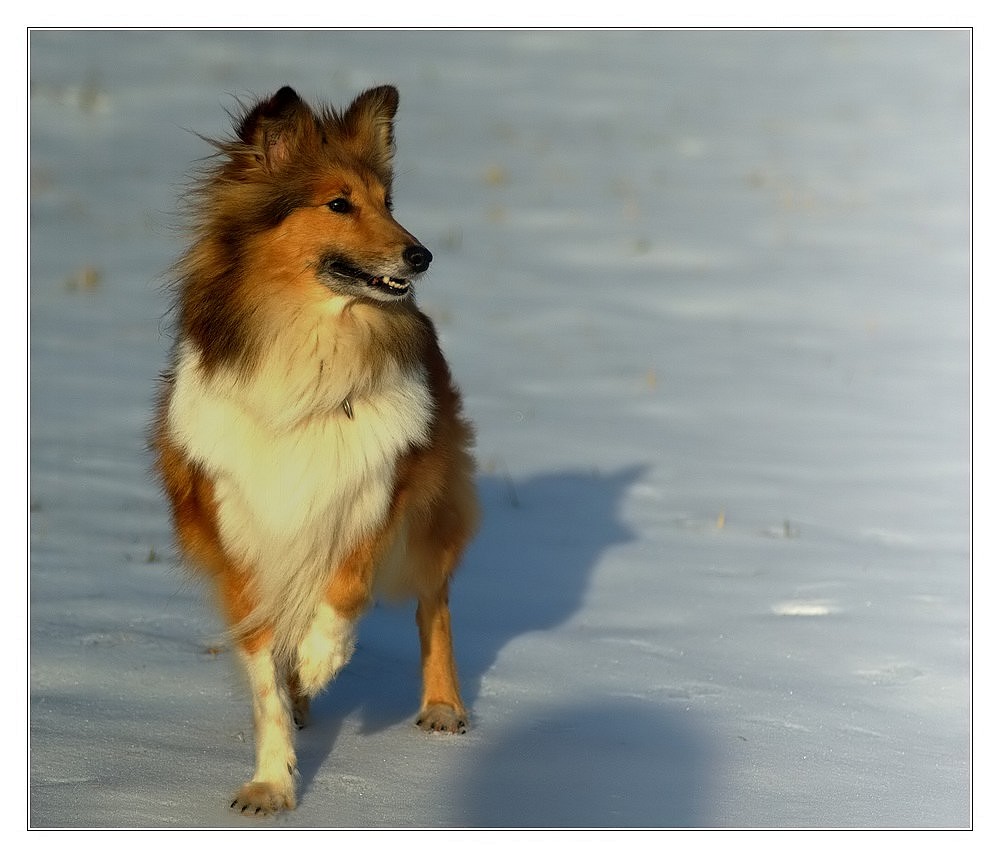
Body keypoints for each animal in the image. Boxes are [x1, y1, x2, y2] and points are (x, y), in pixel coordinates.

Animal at [151, 87, 480, 816]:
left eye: (387, 199)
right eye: (339, 204)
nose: (421, 256)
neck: (309, 348)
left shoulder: (377, 490)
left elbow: (346, 590)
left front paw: (319, 660)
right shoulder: (240, 535)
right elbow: (264, 677)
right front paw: (271, 783)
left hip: (430, 516)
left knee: (435, 600)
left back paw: (443, 706)